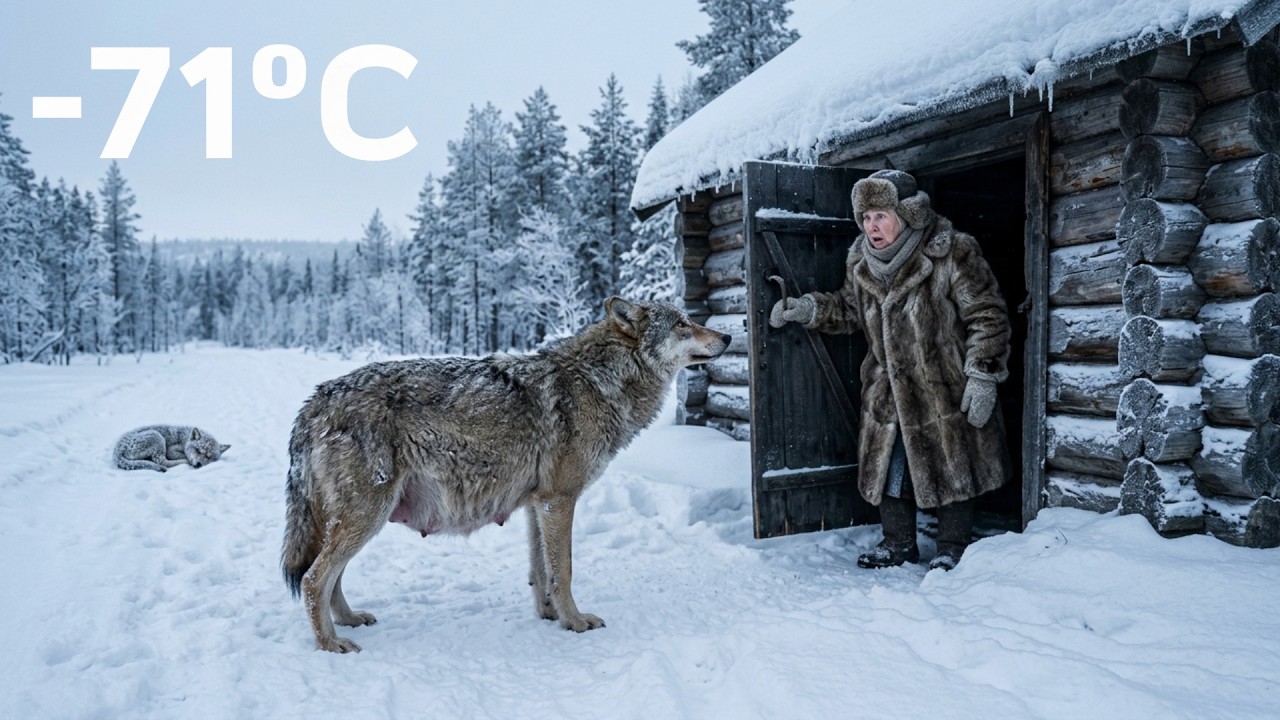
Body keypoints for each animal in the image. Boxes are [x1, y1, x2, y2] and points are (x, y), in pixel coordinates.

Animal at [281, 297, 731, 652]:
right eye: (682, 323)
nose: (727, 337)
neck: (600, 380)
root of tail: (313, 402)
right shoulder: (559, 500)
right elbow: (564, 570)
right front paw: (577, 622)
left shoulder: (537, 505)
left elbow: (541, 572)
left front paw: (551, 617)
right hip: (366, 515)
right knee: (314, 580)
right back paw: (331, 644)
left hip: (358, 519)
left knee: (329, 577)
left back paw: (350, 620)